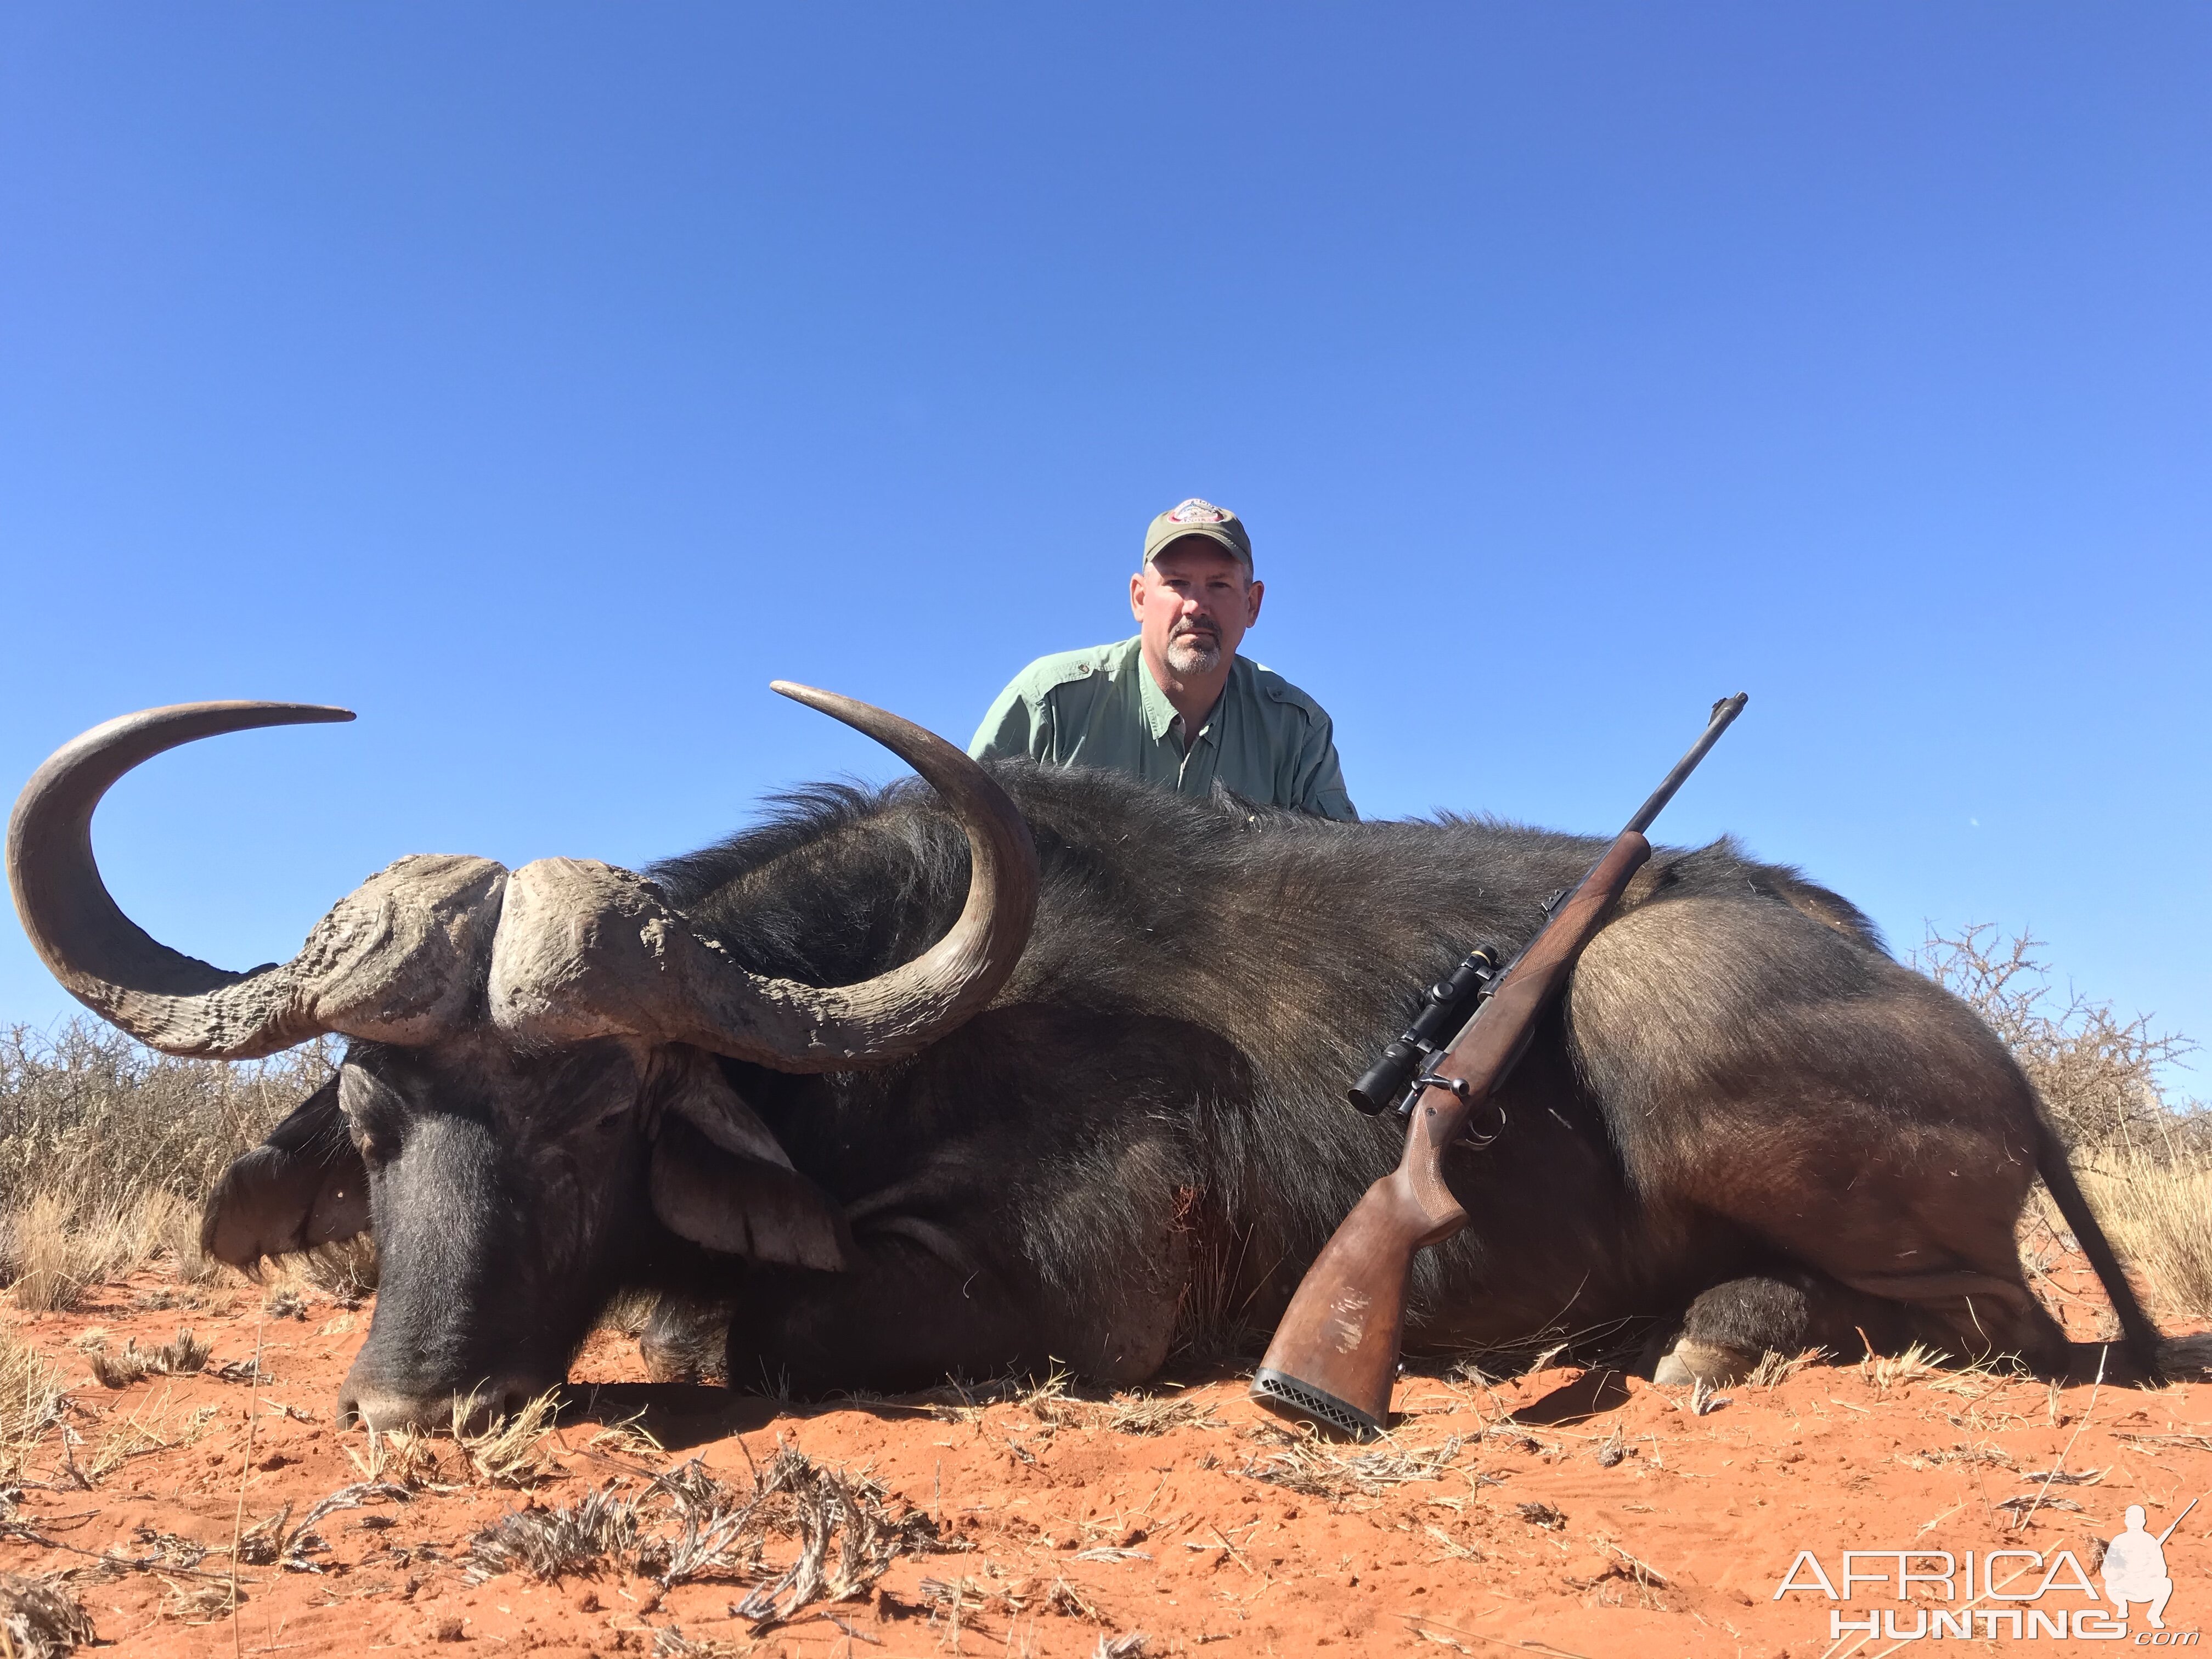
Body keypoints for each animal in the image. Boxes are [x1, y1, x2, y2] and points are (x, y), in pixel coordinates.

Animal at [4, 690, 2159, 1433]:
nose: (417, 1408)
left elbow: (757, 1338)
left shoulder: (1070, 1295)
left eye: (605, 1108)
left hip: (1660, 999)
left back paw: (1703, 1335)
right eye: (376, 1118)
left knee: (1995, 1314)